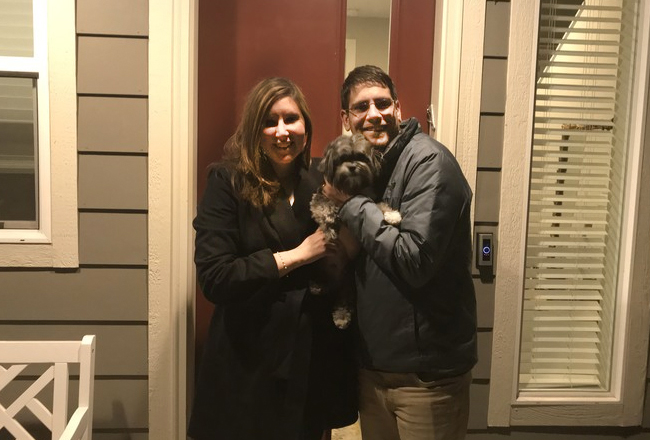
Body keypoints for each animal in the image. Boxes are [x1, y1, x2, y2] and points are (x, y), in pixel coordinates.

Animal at [308, 134, 400, 330]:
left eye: (360, 157)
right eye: (341, 159)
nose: (351, 166)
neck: (350, 189)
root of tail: (333, 282)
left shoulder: (369, 199)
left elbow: (380, 206)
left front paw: (392, 215)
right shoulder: (319, 196)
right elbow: (324, 207)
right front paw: (330, 224)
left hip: (348, 281)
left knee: (344, 300)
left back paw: (341, 316)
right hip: (318, 264)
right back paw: (317, 285)